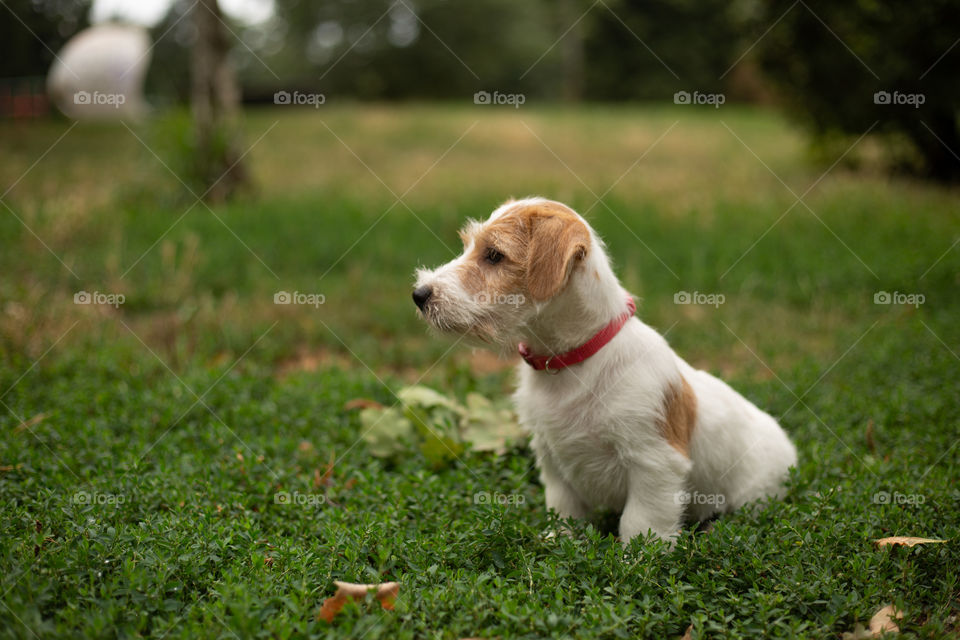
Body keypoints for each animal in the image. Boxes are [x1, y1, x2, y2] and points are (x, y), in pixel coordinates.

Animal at [412, 198, 796, 544]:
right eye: (469, 247)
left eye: (494, 255)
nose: (419, 294)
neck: (570, 361)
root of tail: (790, 449)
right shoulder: (553, 461)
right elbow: (563, 509)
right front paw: (559, 540)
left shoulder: (653, 462)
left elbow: (640, 523)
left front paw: (638, 560)